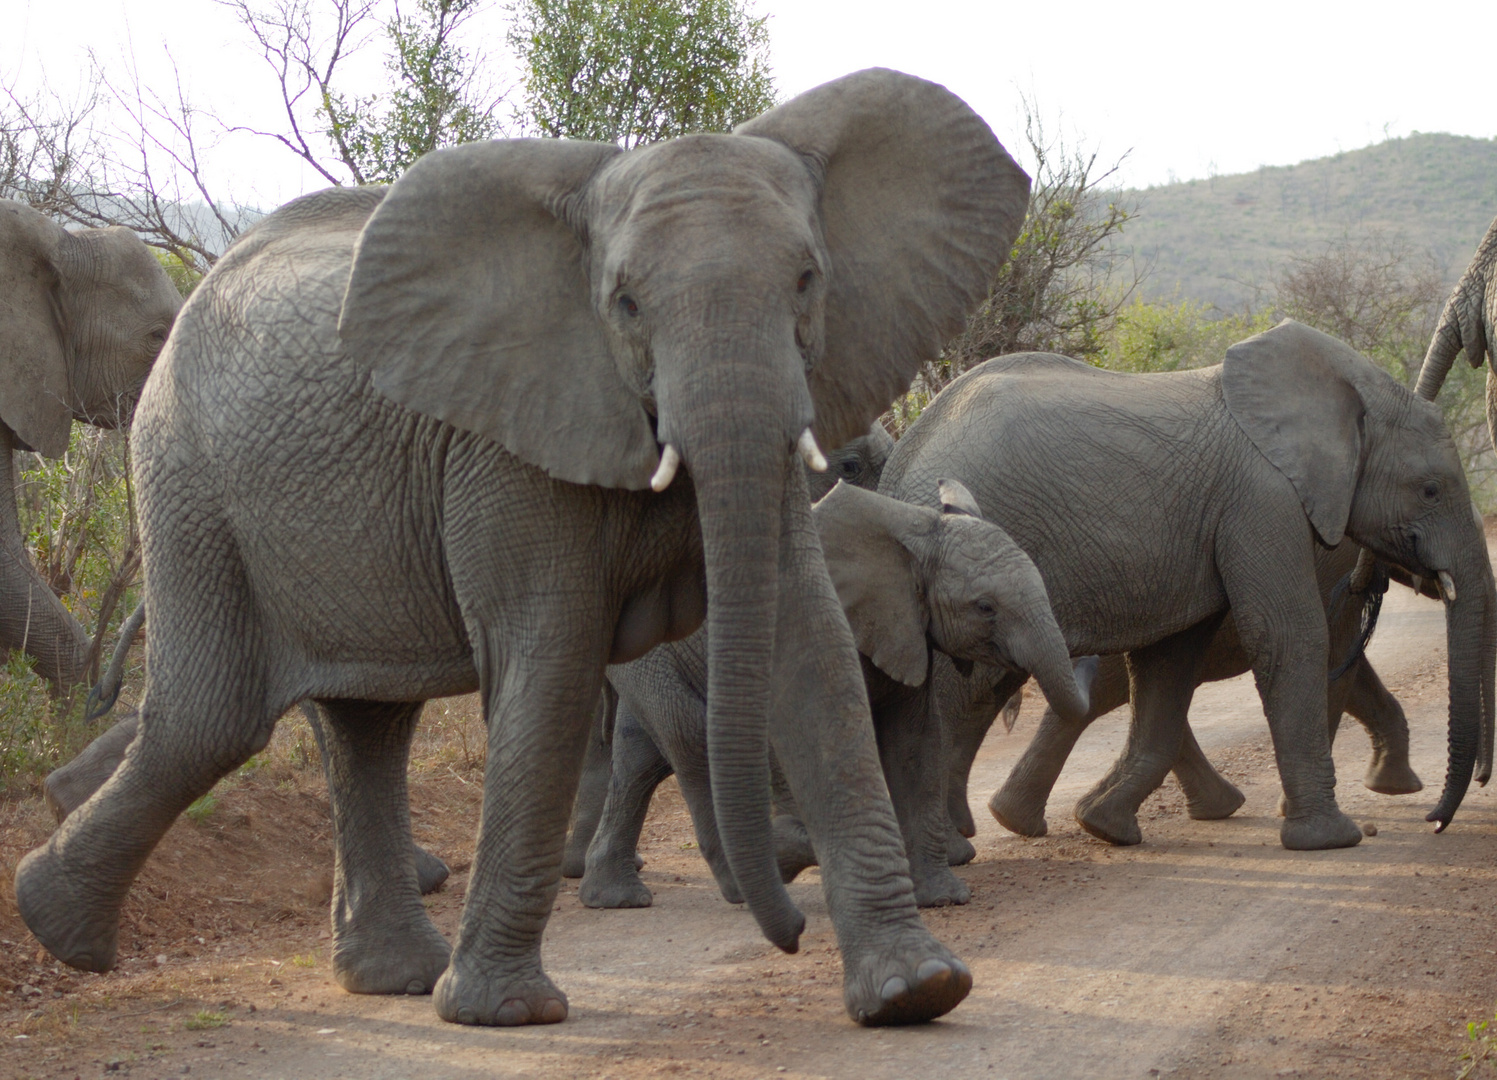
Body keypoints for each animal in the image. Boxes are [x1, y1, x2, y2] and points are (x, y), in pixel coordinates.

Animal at [874, 320, 1497, 850]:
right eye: (1431, 490)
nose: (1436, 822)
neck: (1351, 388)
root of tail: (901, 464)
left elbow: (1168, 663)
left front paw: (1105, 827)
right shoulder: (1263, 499)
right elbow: (1292, 637)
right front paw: (1331, 838)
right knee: (971, 688)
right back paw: (957, 845)